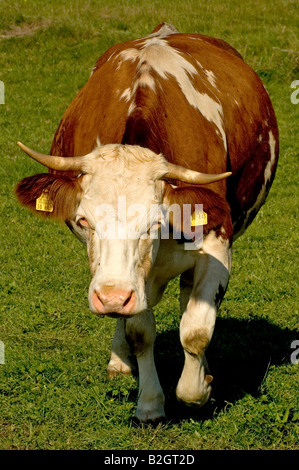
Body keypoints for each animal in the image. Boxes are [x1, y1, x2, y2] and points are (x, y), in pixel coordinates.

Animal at [15, 23, 280, 424]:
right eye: (83, 219)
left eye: (155, 223)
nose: (111, 297)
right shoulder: (127, 278)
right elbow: (140, 331)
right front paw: (150, 403)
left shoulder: (217, 244)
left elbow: (196, 330)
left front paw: (198, 389)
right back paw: (119, 361)